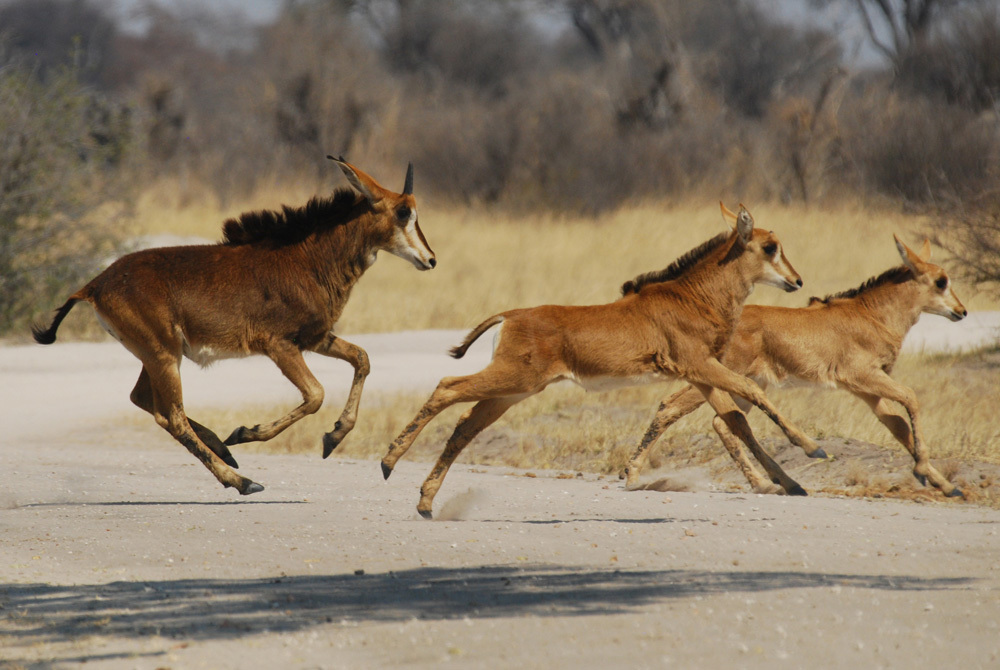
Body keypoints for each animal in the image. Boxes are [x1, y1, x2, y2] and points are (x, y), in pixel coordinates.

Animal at [34, 156, 434, 494]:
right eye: (403, 212)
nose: (430, 259)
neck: (307, 258)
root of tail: (95, 284)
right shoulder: (279, 345)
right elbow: (315, 394)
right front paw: (246, 432)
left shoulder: (315, 338)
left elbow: (362, 358)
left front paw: (333, 438)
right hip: (163, 354)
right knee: (171, 417)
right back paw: (241, 480)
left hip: (156, 355)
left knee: (144, 399)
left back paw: (225, 452)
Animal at [378, 205, 824, 520]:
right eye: (769, 247)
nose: (797, 281)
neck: (693, 296)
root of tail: (511, 315)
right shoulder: (701, 366)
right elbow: (748, 395)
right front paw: (812, 448)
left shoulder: (701, 375)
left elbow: (735, 420)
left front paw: (790, 484)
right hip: (513, 379)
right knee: (447, 387)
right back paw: (387, 462)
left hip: (514, 391)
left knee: (465, 424)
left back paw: (425, 502)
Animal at [624, 236, 968, 498]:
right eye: (941, 281)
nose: (961, 311)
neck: (870, 314)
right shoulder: (862, 377)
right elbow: (911, 397)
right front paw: (923, 472)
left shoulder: (867, 391)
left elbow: (898, 427)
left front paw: (947, 486)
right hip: (716, 376)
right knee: (672, 407)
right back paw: (631, 474)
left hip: (746, 383)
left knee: (724, 421)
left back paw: (769, 483)